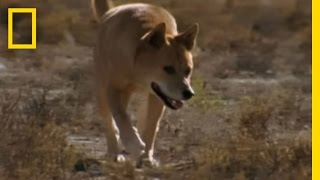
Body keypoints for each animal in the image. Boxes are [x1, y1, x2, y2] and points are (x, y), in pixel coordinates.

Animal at [91, 0, 199, 166]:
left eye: (188, 70)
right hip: (101, 91)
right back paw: (114, 152)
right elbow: (121, 118)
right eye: (168, 69)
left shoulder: (158, 96)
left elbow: (150, 127)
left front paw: (147, 157)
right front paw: (134, 144)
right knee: (110, 122)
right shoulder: (113, 89)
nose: (189, 94)